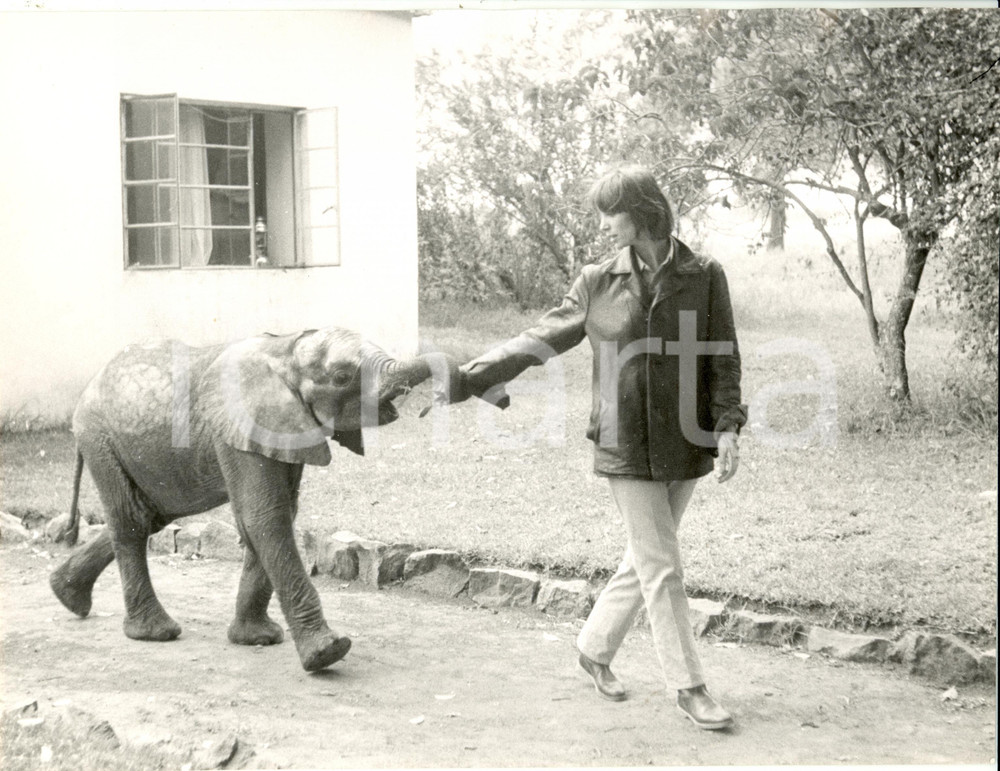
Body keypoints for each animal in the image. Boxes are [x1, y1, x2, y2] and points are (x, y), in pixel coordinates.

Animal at [49, 326, 457, 672]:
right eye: (342, 377)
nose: (437, 397)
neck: (287, 352)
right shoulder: (242, 426)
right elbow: (265, 516)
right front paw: (327, 654)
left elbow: (276, 515)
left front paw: (257, 639)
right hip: (99, 437)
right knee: (132, 520)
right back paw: (154, 632)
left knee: (151, 513)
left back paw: (67, 595)